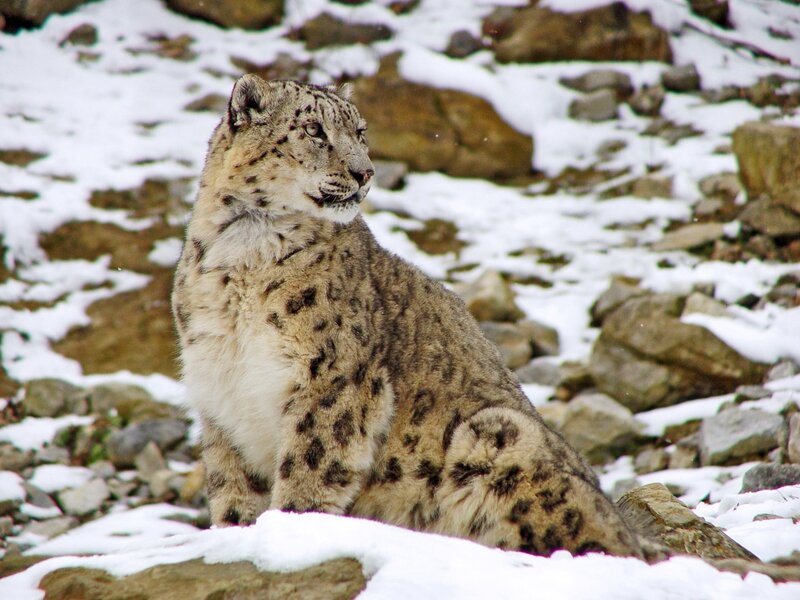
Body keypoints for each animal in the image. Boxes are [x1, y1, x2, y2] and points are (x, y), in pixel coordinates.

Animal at [171, 74, 642, 558]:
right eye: (314, 130)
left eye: (359, 131)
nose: (364, 173)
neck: (244, 252)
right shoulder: (218, 391)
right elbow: (231, 480)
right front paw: (237, 533)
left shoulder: (334, 376)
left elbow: (312, 459)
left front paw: (292, 527)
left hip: (500, 435)